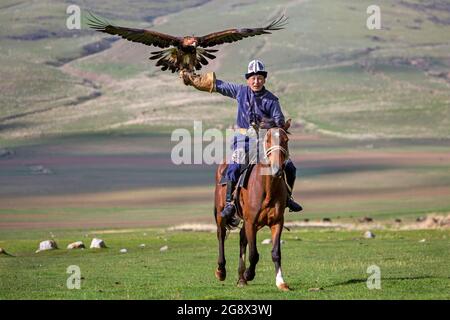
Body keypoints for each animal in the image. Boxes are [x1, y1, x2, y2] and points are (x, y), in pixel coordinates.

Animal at [214, 119, 292, 292]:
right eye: (267, 140)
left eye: (286, 140)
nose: (277, 169)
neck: (268, 188)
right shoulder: (251, 222)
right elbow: (254, 254)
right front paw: (250, 274)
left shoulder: (277, 222)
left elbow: (276, 253)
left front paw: (281, 282)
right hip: (221, 214)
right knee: (221, 235)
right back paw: (221, 271)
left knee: (242, 238)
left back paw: (241, 278)